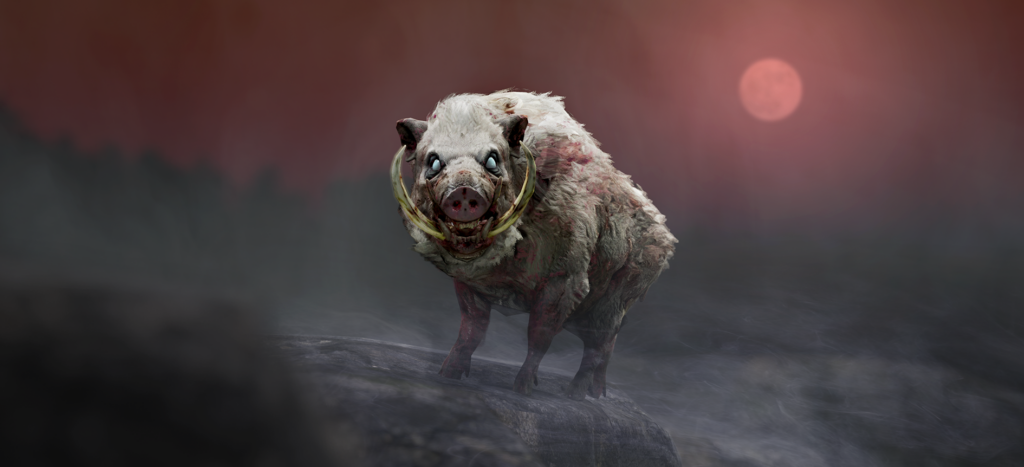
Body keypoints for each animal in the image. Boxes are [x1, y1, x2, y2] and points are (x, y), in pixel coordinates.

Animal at [391, 91, 676, 400]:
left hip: (615, 302)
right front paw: (447, 375)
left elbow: (539, 335)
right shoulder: (467, 283)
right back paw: (594, 392)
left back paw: (577, 393)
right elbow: (472, 328)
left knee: (600, 347)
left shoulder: (567, 278)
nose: (463, 190)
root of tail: (667, 238)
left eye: (492, 160)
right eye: (433, 163)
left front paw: (522, 389)